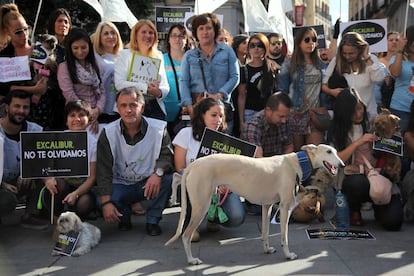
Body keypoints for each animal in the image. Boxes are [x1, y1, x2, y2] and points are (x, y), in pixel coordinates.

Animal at [165, 143, 342, 264]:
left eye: (335, 151)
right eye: (328, 151)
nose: (342, 165)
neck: (296, 162)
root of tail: (194, 164)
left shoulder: (267, 206)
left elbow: (265, 232)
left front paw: (267, 249)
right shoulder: (285, 207)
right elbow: (284, 236)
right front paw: (288, 255)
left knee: (177, 176)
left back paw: (173, 196)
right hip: (202, 205)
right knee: (186, 234)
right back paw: (191, 260)